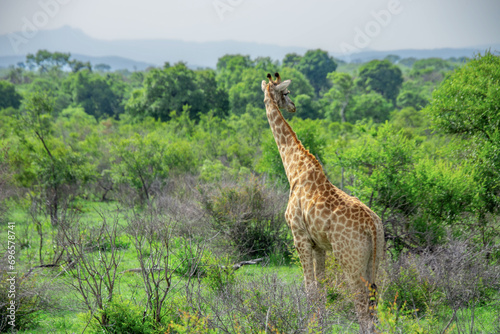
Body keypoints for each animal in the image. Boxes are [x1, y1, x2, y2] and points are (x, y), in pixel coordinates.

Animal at [260, 72, 384, 332]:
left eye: (286, 92)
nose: (293, 106)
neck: (294, 169)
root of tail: (372, 226)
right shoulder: (319, 245)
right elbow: (323, 289)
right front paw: (320, 324)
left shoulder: (299, 236)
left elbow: (310, 289)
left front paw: (308, 324)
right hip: (375, 258)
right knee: (374, 300)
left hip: (350, 259)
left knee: (360, 302)